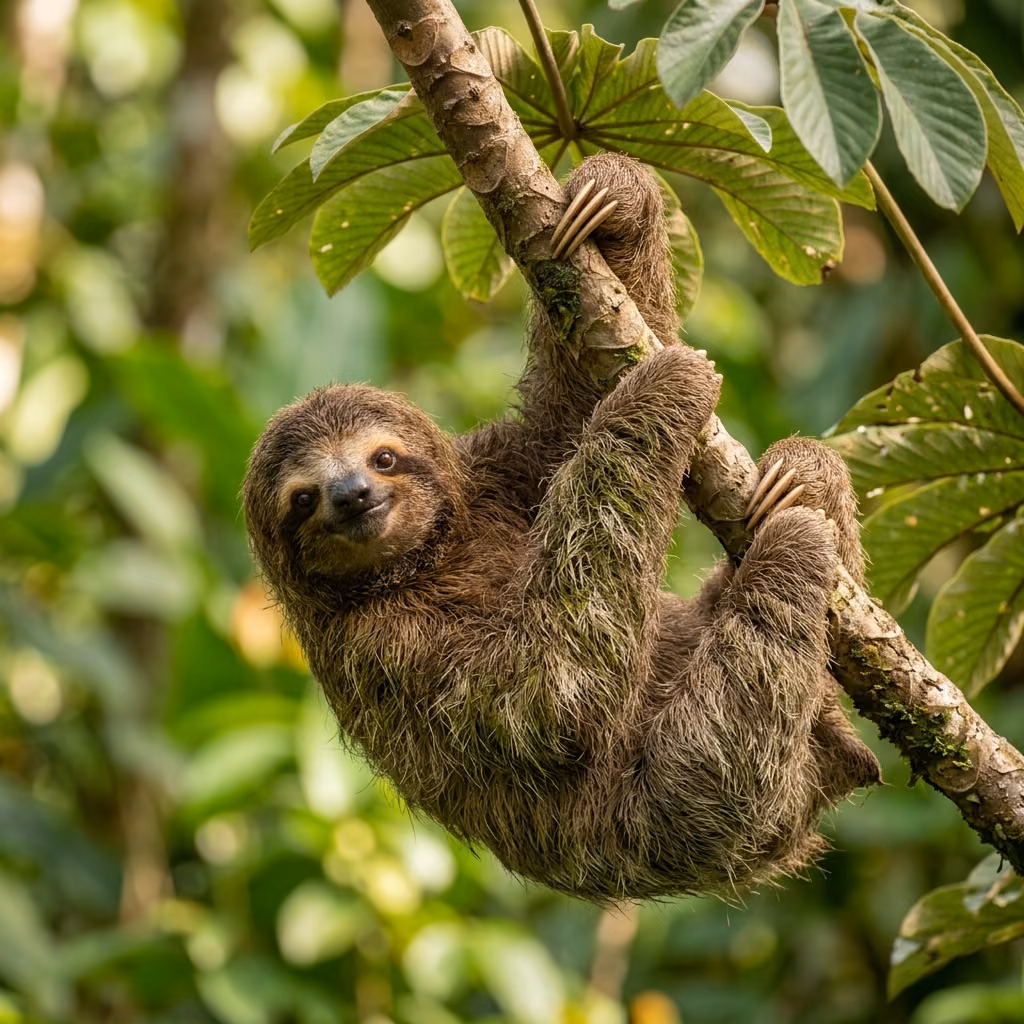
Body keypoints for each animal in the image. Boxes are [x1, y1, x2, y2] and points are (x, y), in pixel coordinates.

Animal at [243, 154, 880, 902]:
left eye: (383, 458)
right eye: (302, 500)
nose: (351, 496)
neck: (429, 557)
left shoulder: (495, 471)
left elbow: (569, 407)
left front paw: (616, 196)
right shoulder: (378, 647)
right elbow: (546, 691)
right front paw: (661, 389)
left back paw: (805, 477)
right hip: (698, 802)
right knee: (750, 681)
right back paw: (792, 548)